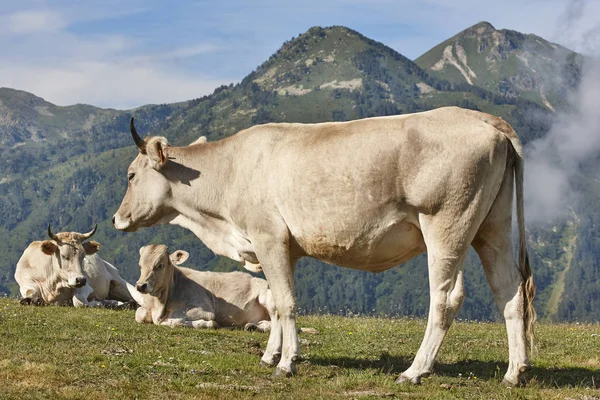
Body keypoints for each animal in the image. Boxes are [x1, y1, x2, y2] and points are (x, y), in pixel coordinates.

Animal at [112, 107, 536, 388]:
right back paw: (514, 373)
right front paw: (271, 354)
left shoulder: (268, 236)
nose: (117, 219)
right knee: (510, 293)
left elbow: (285, 303)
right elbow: (277, 303)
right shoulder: (284, 248)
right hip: (491, 229)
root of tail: (484, 118)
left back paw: (415, 370)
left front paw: (286, 363)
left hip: (446, 225)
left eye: (131, 175)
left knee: (445, 299)